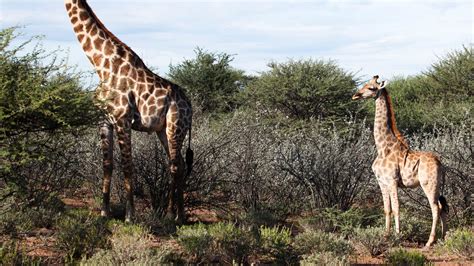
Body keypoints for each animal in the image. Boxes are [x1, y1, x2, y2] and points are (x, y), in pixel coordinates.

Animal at [64, 0, 193, 223]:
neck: (101, 65)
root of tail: (190, 107)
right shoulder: (104, 121)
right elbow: (107, 164)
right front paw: (104, 212)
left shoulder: (122, 118)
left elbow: (127, 165)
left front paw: (129, 215)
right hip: (163, 130)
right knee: (180, 165)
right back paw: (180, 215)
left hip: (176, 126)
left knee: (176, 165)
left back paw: (171, 215)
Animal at [352, 75, 448, 247]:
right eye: (364, 84)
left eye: (371, 88)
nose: (356, 95)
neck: (382, 147)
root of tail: (440, 163)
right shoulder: (381, 182)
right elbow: (387, 209)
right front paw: (385, 235)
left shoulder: (392, 180)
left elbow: (396, 208)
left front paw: (397, 236)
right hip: (437, 185)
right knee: (443, 207)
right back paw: (443, 238)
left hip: (428, 184)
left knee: (435, 208)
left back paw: (429, 242)